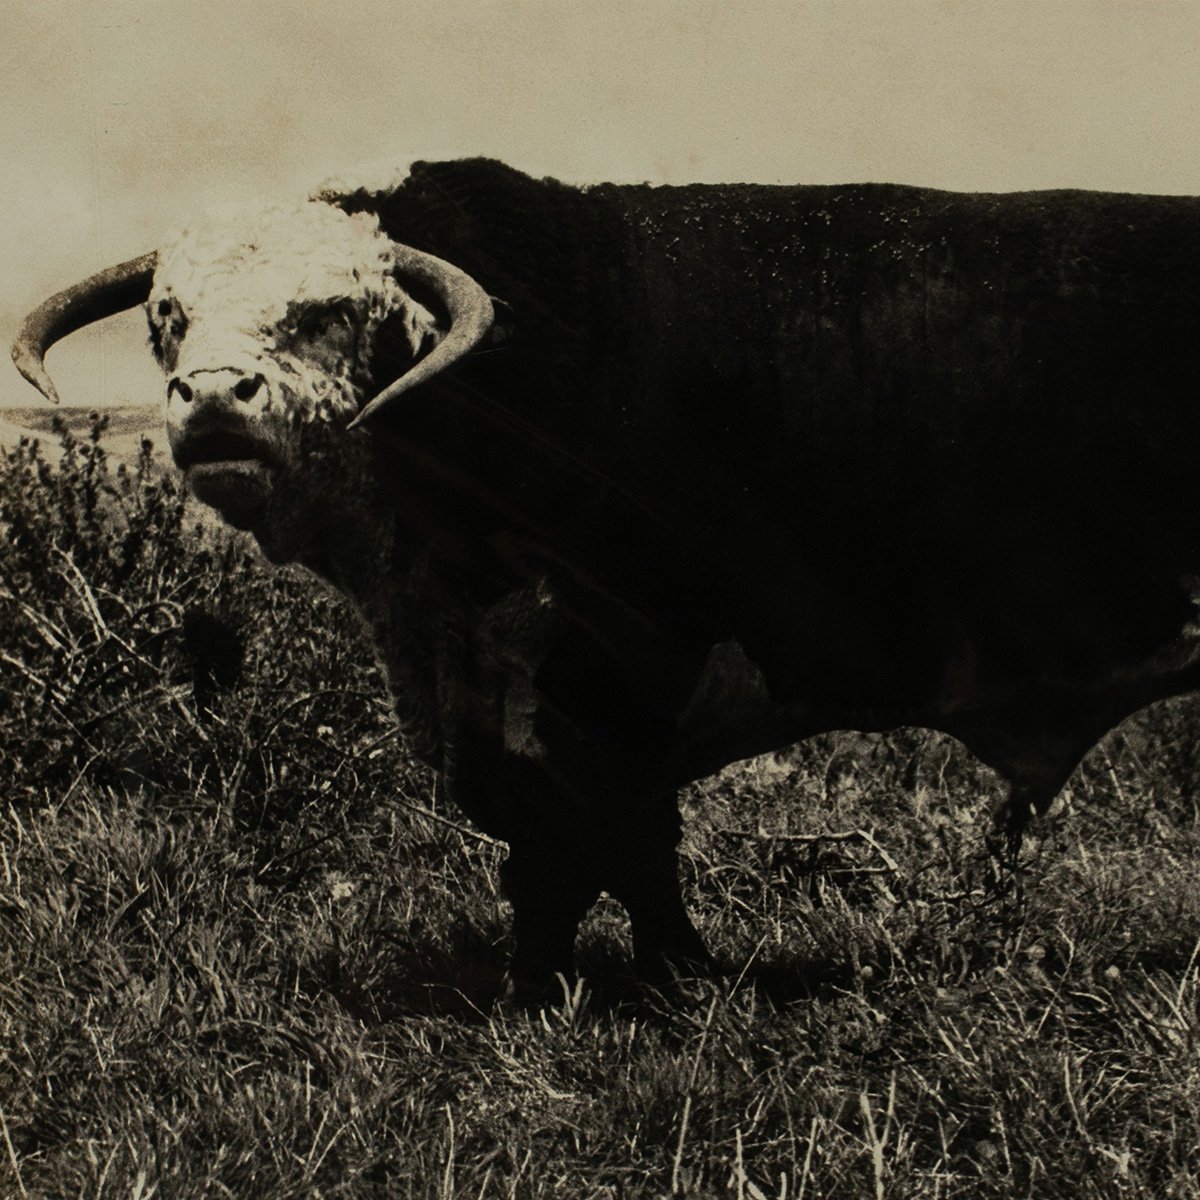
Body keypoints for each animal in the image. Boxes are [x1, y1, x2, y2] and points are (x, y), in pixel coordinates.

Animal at [14, 157, 1200, 996]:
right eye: (167, 319)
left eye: (329, 312)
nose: (215, 396)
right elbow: (593, 847)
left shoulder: (622, 666)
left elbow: (605, 840)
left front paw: (635, 979)